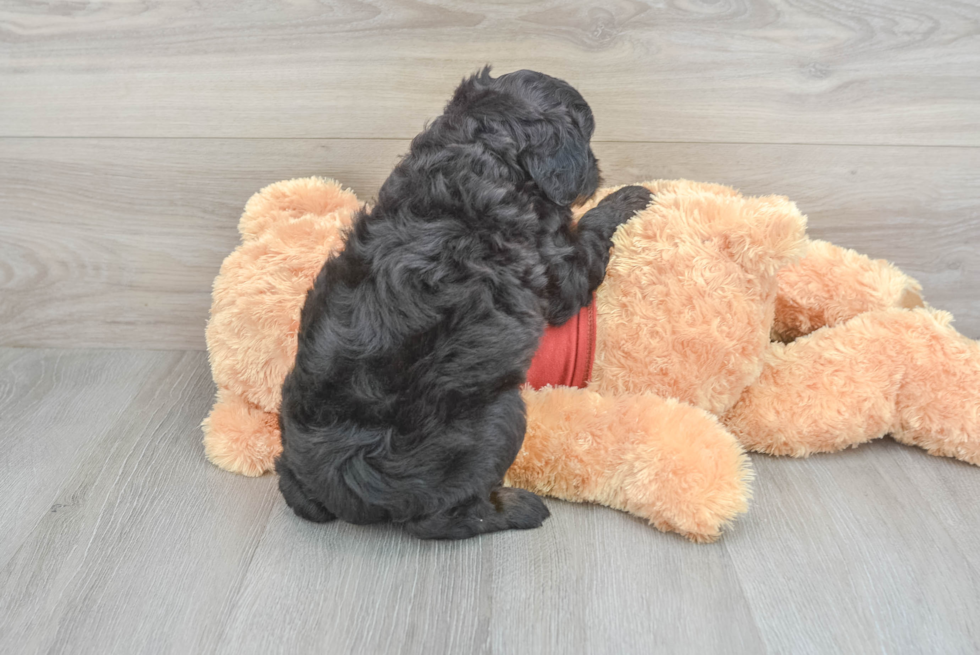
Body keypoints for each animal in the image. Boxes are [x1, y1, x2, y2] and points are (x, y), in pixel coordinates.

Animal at [276, 66, 656, 540]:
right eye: (586, 133)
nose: (596, 168)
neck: (476, 158)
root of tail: (339, 491)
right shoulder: (558, 271)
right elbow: (587, 235)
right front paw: (628, 197)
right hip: (496, 419)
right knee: (443, 519)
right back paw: (519, 509)